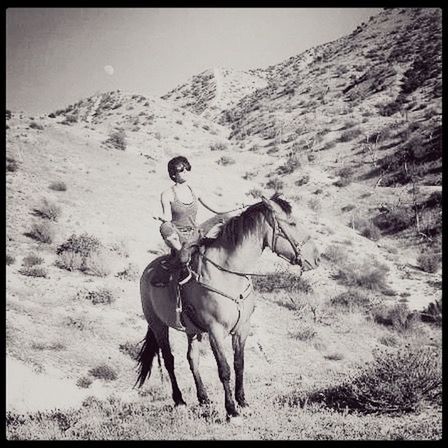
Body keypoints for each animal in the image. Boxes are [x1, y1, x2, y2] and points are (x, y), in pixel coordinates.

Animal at [136, 192, 318, 420]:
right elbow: (224, 369)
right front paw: (231, 410)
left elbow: (239, 364)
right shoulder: (215, 330)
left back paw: (204, 398)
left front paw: (243, 401)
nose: (315, 258)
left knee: (192, 358)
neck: (228, 273)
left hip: (192, 330)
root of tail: (148, 270)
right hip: (158, 325)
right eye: (292, 223)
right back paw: (180, 400)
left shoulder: (242, 328)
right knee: (169, 360)